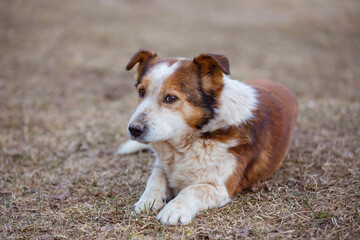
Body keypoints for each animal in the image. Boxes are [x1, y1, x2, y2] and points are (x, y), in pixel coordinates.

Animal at [118, 49, 298, 225]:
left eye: (171, 98)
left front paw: (174, 209)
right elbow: (154, 180)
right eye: (141, 92)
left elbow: (192, 189)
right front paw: (147, 200)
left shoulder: (221, 187)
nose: (134, 129)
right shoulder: (161, 166)